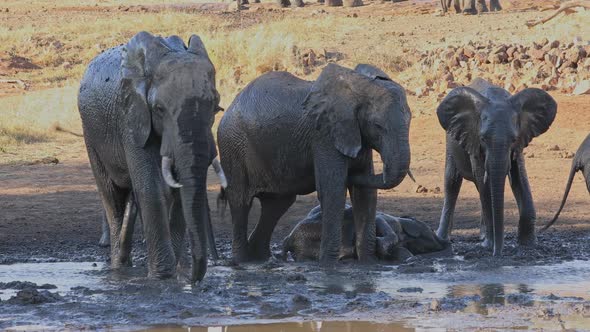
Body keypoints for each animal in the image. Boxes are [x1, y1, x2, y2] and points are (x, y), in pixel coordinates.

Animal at [76, 31, 220, 282]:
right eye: (159, 109)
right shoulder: (130, 118)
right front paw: (162, 276)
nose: (194, 279)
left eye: (215, 107)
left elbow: (176, 191)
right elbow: (152, 189)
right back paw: (119, 267)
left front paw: (175, 274)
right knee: (112, 197)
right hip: (90, 134)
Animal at [216, 62, 412, 264]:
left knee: (276, 205)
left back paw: (261, 260)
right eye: (377, 126)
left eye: (410, 120)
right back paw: (242, 262)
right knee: (241, 202)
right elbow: (333, 192)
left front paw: (368, 264)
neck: (357, 86)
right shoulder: (324, 136)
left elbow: (364, 195)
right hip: (233, 146)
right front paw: (328, 265)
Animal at [284, 205, 448, 262]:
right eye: (431, 229)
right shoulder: (385, 219)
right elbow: (380, 222)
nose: (447, 242)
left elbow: (402, 253)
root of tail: (289, 239)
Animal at [440, 79, 560, 255]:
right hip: (451, 143)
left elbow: (519, 178)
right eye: (483, 139)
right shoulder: (473, 140)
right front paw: (489, 246)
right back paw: (443, 239)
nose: (498, 253)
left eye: (514, 139)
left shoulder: (520, 142)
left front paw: (528, 244)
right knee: (452, 182)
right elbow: (484, 183)